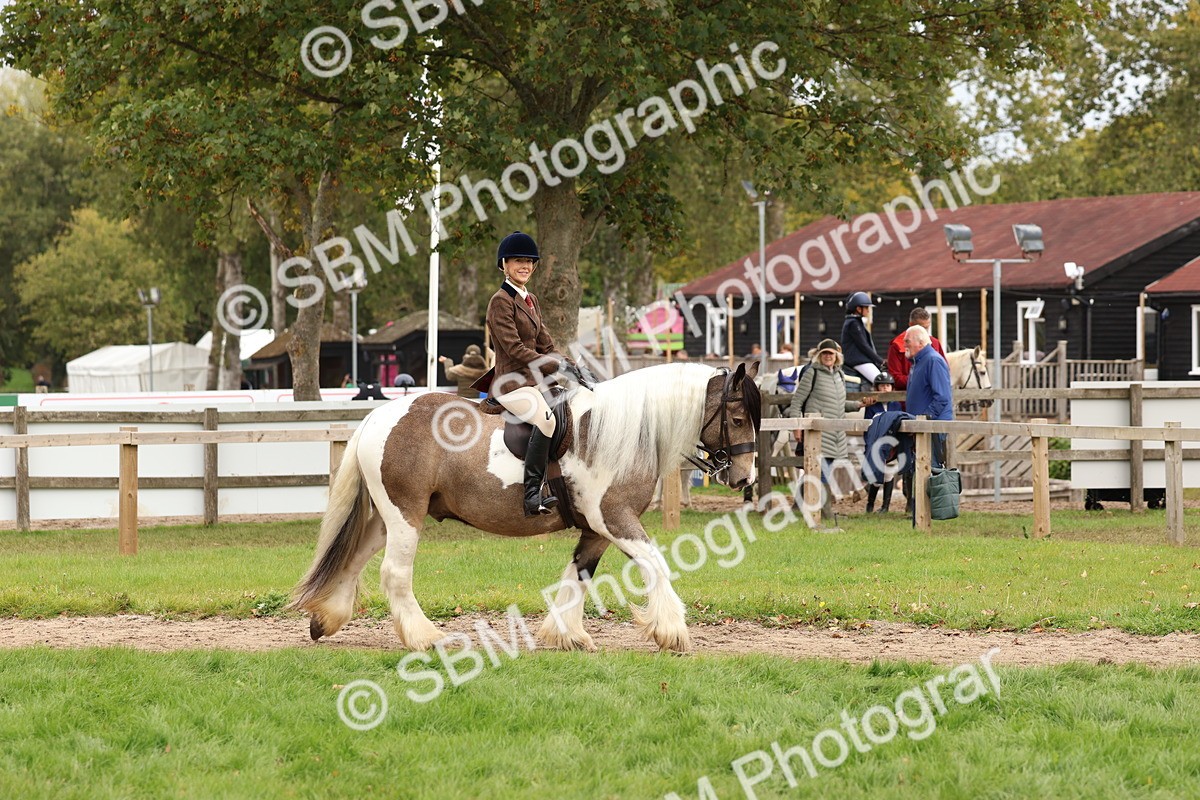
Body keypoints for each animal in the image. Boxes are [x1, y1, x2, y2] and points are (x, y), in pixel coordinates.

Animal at [290, 360, 762, 654]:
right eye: (738, 419)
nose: (744, 478)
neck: (619, 431)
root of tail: (378, 417)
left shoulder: (595, 529)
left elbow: (579, 575)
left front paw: (566, 636)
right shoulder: (615, 519)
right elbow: (656, 564)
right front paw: (672, 632)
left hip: (388, 518)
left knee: (354, 558)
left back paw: (327, 619)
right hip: (404, 514)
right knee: (394, 573)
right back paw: (425, 637)